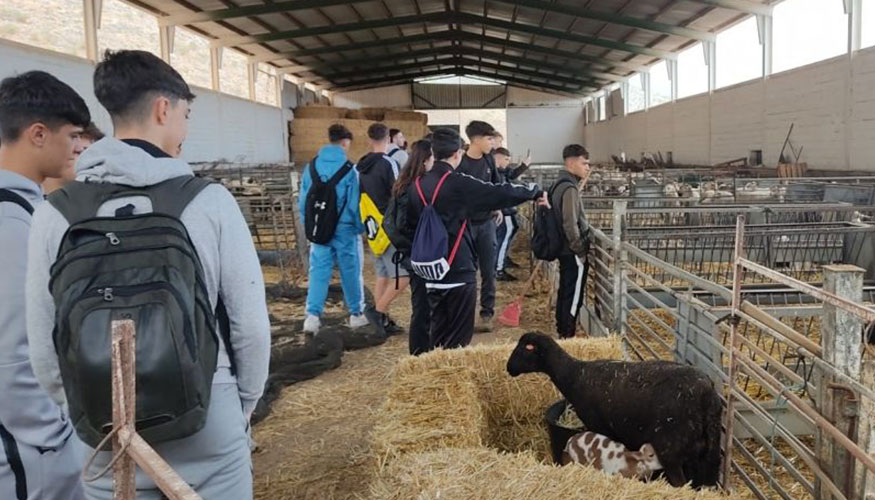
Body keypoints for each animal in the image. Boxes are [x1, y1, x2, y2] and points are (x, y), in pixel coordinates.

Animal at [504, 332, 724, 488]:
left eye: (524, 349)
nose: (508, 368)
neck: (574, 375)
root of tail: (707, 394)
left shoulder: (598, 426)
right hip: (706, 453)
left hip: (671, 449)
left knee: (680, 482)